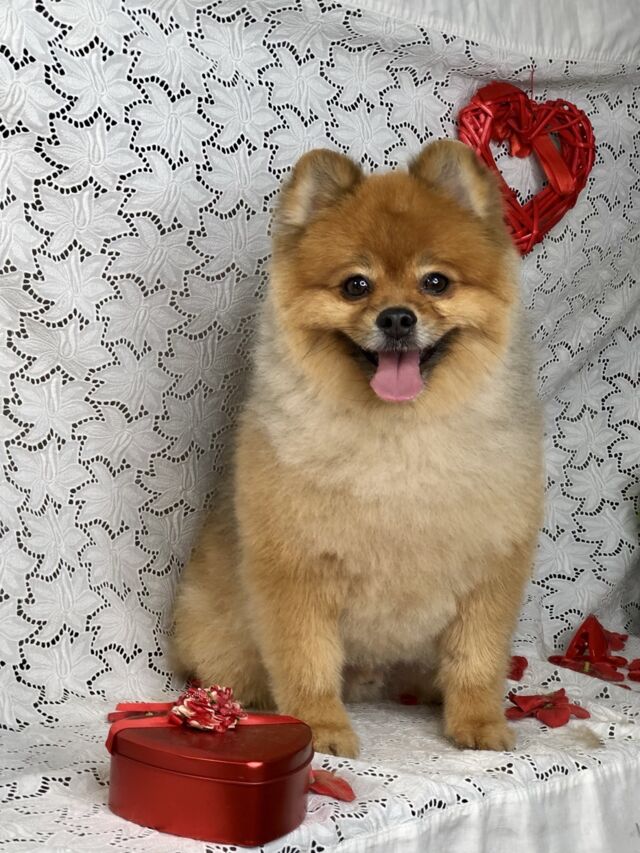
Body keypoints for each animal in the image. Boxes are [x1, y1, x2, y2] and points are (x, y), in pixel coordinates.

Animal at [172, 140, 543, 757]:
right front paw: (320, 726)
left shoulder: (490, 569)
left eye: (436, 283)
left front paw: (478, 722)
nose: (397, 318)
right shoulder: (296, 569)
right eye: (356, 286)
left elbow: (477, 660)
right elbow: (306, 660)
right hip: (218, 635)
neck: (399, 437)